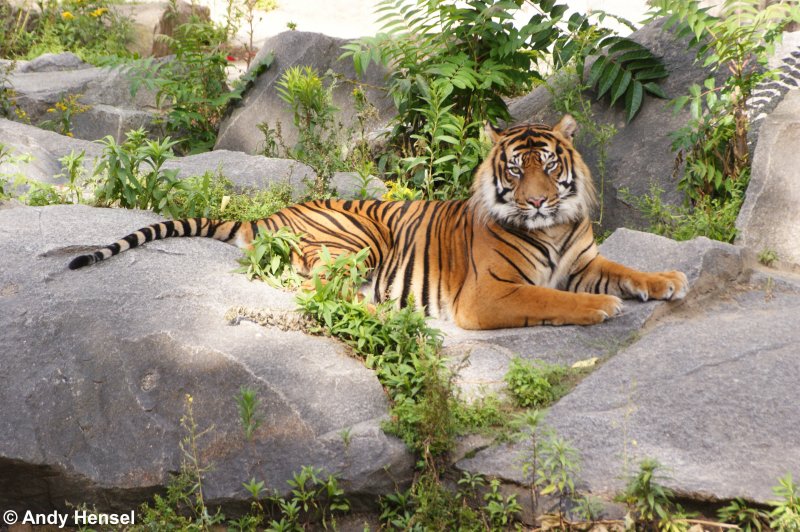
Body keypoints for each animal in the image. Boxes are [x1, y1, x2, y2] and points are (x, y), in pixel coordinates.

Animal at [70, 116, 688, 328]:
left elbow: (627, 269)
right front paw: (600, 307)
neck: (554, 228)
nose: (536, 203)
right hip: (359, 240)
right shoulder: (489, 294)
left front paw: (668, 281)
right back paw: (384, 312)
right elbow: (552, 298)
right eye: (516, 169)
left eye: (550, 166)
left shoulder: (582, 260)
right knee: (314, 288)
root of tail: (270, 212)